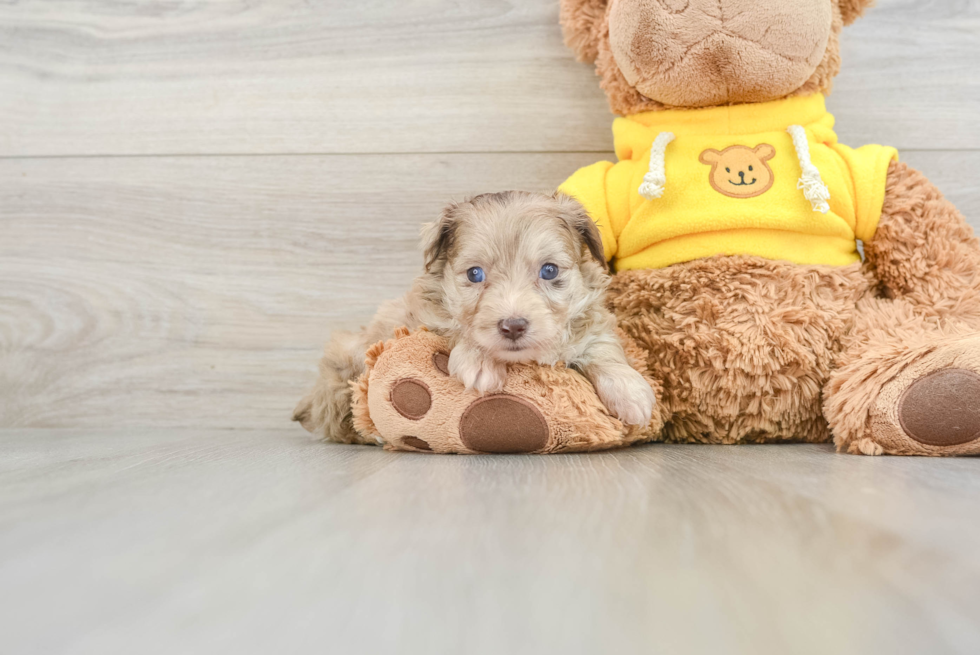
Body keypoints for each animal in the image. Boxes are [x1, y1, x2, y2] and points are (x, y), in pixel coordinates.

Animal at [294, 191, 656, 446]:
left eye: (549, 270)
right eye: (475, 274)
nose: (513, 326)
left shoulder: (592, 322)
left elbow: (603, 350)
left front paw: (630, 391)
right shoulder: (424, 316)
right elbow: (457, 329)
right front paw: (480, 359)